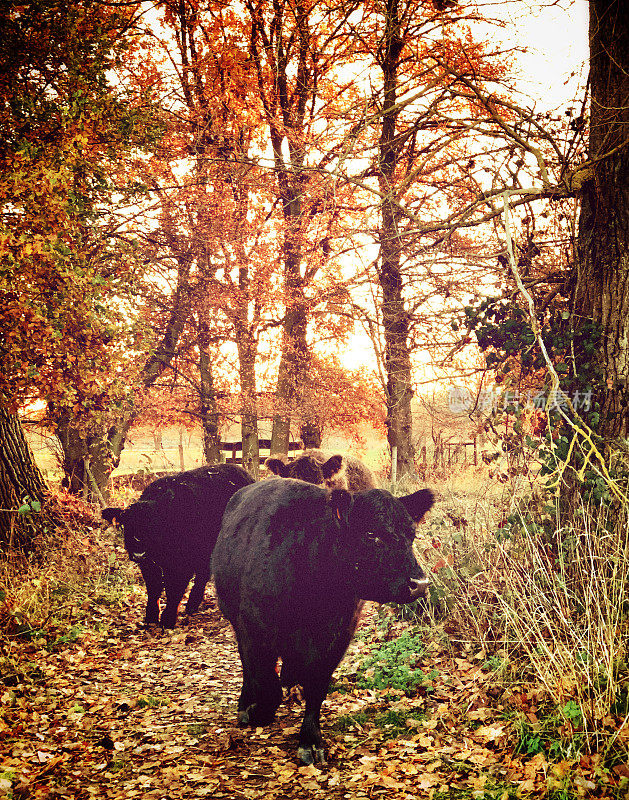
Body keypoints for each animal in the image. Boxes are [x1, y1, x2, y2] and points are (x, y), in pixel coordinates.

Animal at [102, 466, 251, 628]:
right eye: (127, 525)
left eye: (154, 524)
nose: (138, 553)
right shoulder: (148, 564)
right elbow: (153, 588)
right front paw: (151, 616)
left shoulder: (182, 564)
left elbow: (174, 590)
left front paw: (168, 619)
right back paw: (192, 604)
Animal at [211, 478, 432, 764]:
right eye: (371, 534)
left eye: (411, 535)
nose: (420, 584)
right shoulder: (254, 629)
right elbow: (264, 680)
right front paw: (259, 711)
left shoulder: (336, 639)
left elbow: (316, 687)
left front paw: (311, 741)